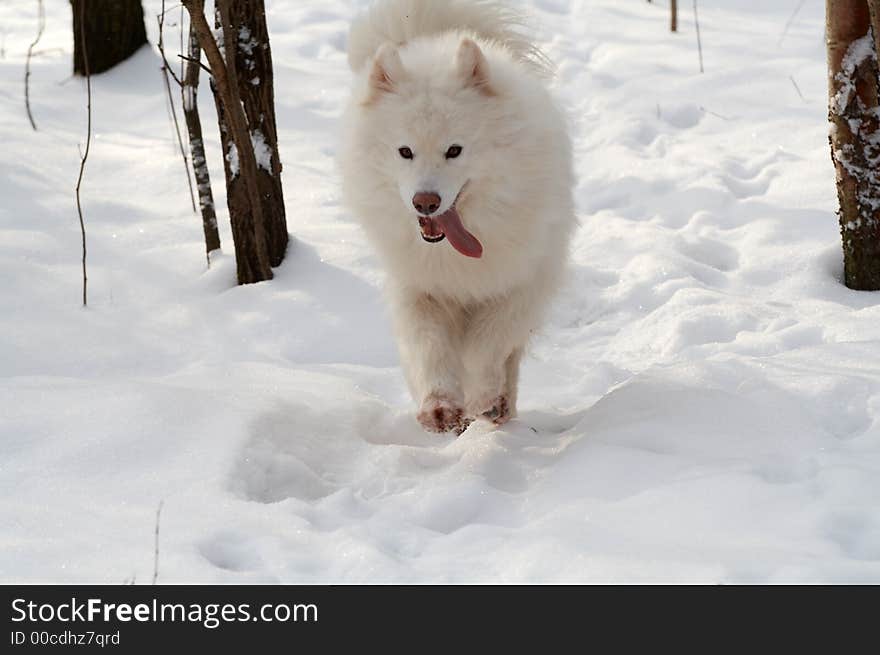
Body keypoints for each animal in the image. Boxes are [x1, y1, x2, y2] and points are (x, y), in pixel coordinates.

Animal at [338, 1, 576, 436]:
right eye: (405, 151)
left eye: (454, 150)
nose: (425, 202)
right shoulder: (419, 287)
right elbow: (428, 346)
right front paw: (440, 406)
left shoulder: (521, 284)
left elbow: (487, 345)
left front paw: (483, 398)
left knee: (508, 361)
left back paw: (501, 407)